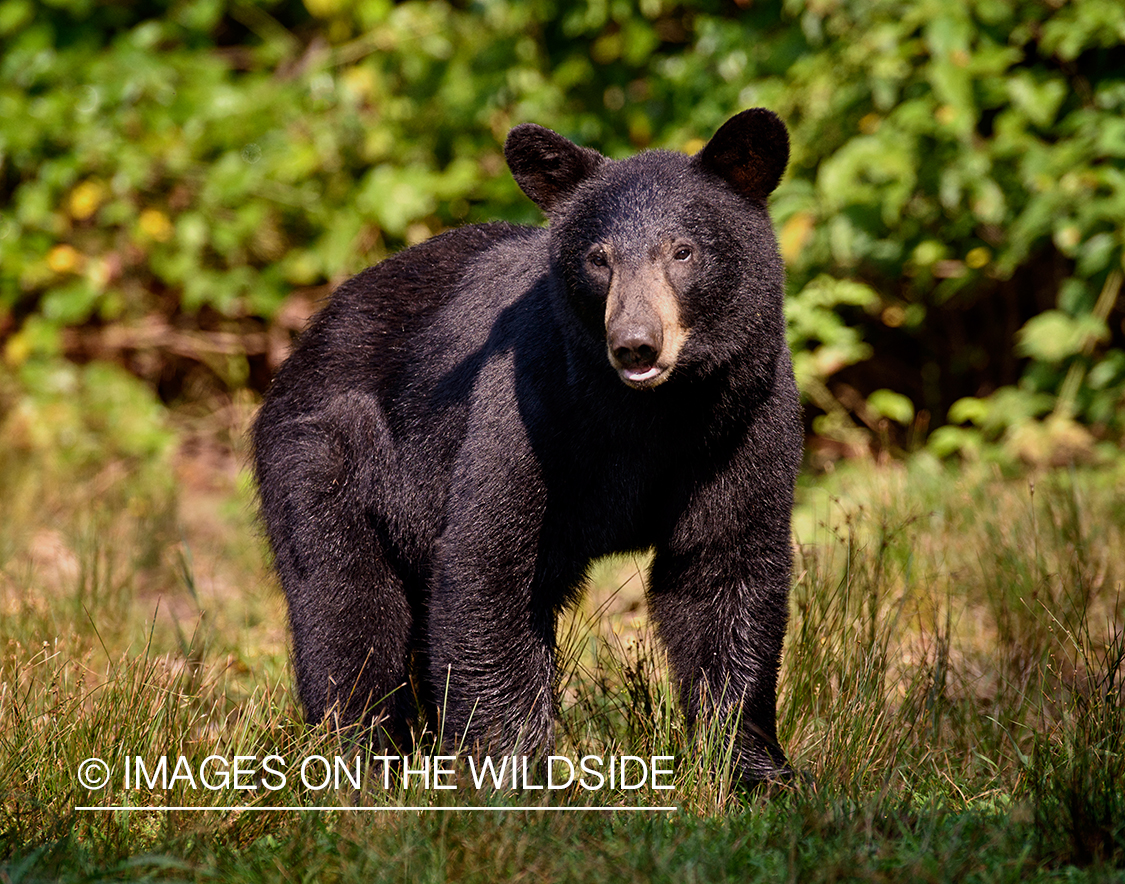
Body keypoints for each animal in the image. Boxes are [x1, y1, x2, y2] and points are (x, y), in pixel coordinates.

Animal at [253, 110, 801, 787]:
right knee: (346, 612)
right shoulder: (529, 404)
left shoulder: (743, 422)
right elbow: (487, 567)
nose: (635, 344)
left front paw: (753, 770)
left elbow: (725, 571)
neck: (652, 415)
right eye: (599, 258)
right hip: (325, 454)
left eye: (682, 250)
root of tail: (305, 340)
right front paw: (513, 774)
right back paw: (366, 764)